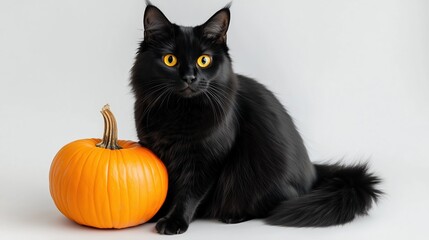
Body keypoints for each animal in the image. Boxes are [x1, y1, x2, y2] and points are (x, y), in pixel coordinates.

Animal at [130, 3, 382, 235]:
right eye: (170, 60)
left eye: (204, 60)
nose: (190, 78)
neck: (179, 112)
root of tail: (313, 171)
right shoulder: (160, 153)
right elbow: (168, 188)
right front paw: (158, 214)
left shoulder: (206, 158)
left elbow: (188, 193)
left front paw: (174, 221)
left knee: (273, 204)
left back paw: (234, 216)